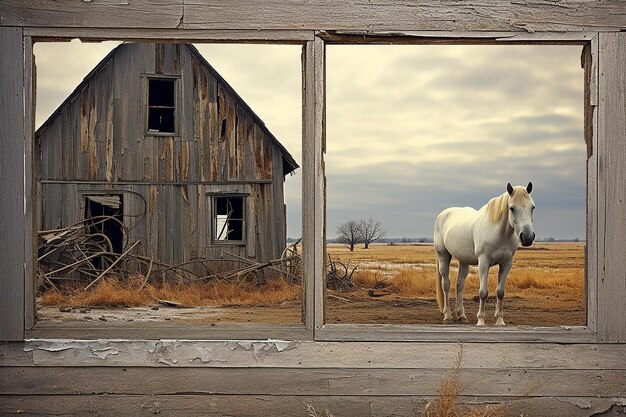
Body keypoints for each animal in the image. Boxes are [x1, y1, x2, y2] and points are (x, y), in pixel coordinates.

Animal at [432, 182, 532, 324]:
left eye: (532, 207)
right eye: (512, 208)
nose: (528, 237)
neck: (500, 233)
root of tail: (442, 215)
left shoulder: (506, 263)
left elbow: (500, 292)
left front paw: (500, 320)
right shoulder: (484, 263)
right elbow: (483, 292)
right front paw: (480, 320)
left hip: (464, 260)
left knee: (459, 285)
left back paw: (462, 316)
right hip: (443, 256)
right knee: (446, 285)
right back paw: (448, 316)